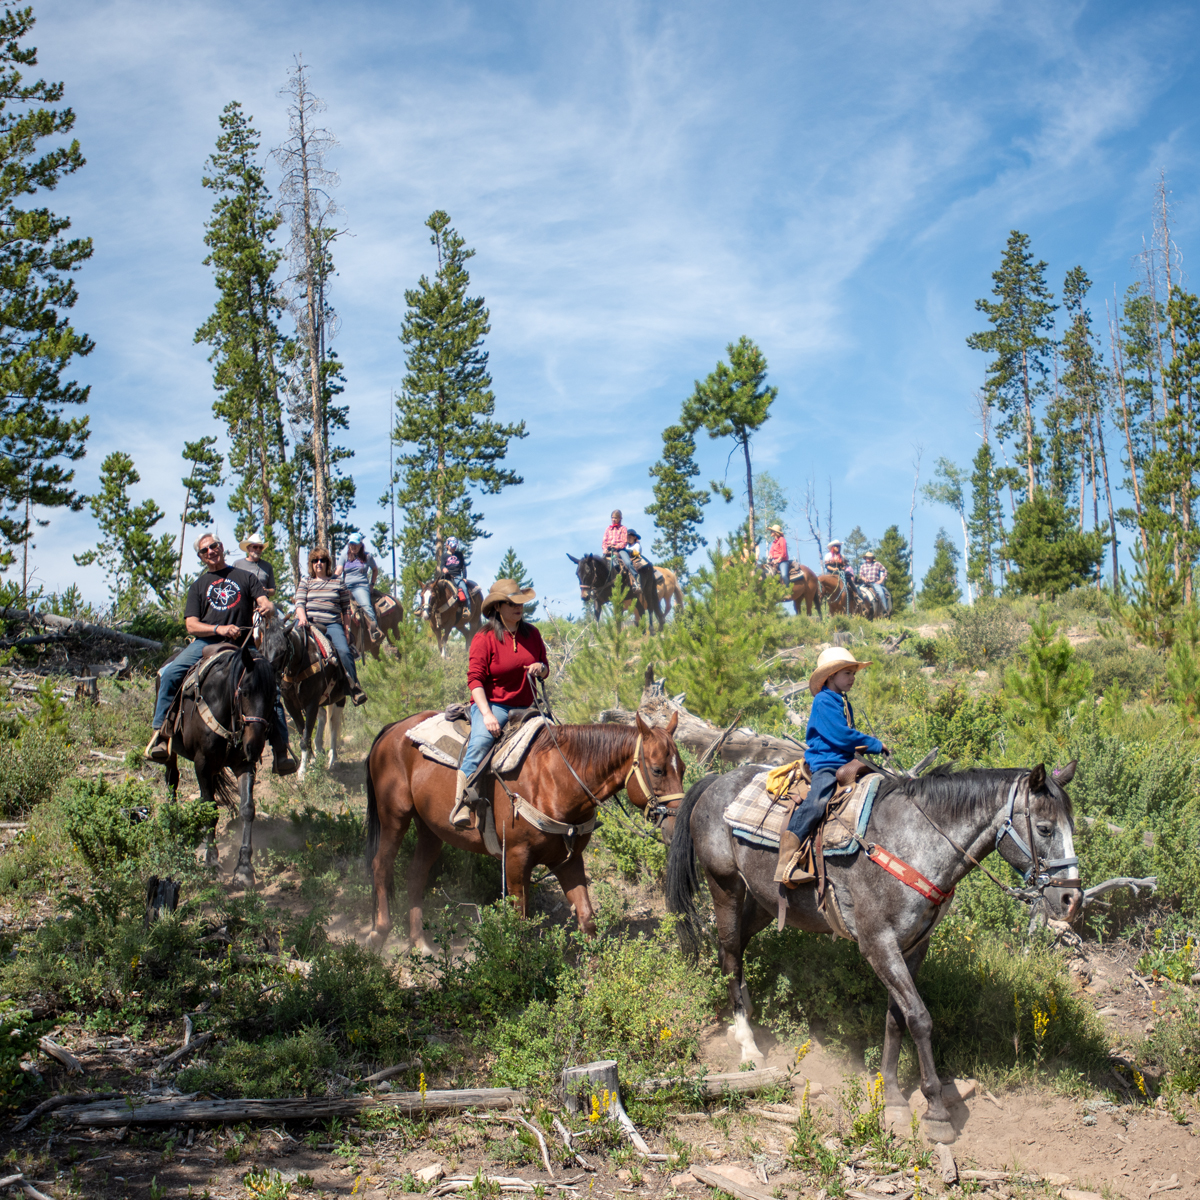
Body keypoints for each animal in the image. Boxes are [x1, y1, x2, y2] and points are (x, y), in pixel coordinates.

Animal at [362, 710, 686, 955]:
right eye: (657, 770)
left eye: (682, 768)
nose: (676, 825)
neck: (558, 781)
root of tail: (393, 728)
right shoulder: (516, 861)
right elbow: (519, 924)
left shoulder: (569, 861)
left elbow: (587, 919)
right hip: (394, 816)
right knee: (380, 865)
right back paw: (378, 933)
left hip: (430, 829)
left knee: (415, 875)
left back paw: (420, 944)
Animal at [672, 763, 1084, 1147]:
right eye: (1045, 828)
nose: (1071, 899)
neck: (914, 845)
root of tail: (718, 780)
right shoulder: (878, 944)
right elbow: (919, 1018)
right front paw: (936, 1112)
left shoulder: (912, 947)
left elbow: (896, 1019)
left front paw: (893, 1097)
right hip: (724, 885)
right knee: (729, 954)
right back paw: (747, 1044)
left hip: (765, 901)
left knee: (736, 947)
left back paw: (744, 1015)